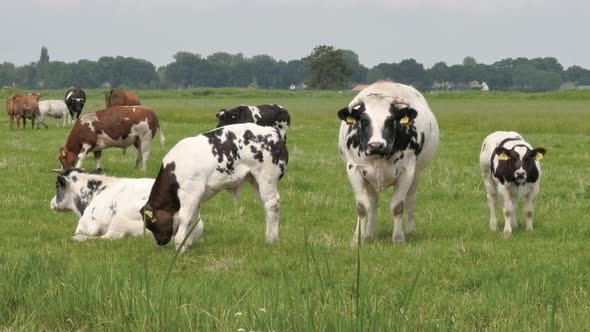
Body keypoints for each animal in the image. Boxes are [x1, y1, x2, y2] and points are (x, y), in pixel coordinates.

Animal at [143, 123, 292, 253]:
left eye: (150, 224)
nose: (160, 242)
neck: (174, 169)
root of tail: (272, 131)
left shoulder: (190, 193)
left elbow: (184, 218)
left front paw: (179, 247)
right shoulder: (197, 196)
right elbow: (193, 218)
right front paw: (188, 243)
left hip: (267, 177)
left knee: (272, 205)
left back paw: (271, 240)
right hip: (255, 180)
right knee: (265, 205)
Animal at [338, 81, 440, 244]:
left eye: (390, 120)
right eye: (364, 121)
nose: (376, 145)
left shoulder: (407, 172)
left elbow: (398, 206)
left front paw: (398, 239)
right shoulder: (354, 169)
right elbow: (362, 207)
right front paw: (357, 239)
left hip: (417, 174)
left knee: (410, 200)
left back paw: (410, 231)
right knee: (373, 202)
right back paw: (369, 233)